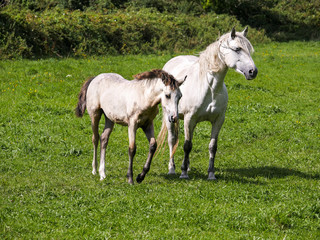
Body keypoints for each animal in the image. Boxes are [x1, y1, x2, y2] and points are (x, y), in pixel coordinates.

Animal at [160, 27, 258, 179]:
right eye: (237, 49)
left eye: (249, 50)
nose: (253, 71)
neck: (210, 89)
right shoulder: (189, 119)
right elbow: (187, 145)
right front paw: (183, 173)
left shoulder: (218, 120)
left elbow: (212, 146)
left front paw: (211, 173)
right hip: (169, 117)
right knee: (172, 140)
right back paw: (172, 169)